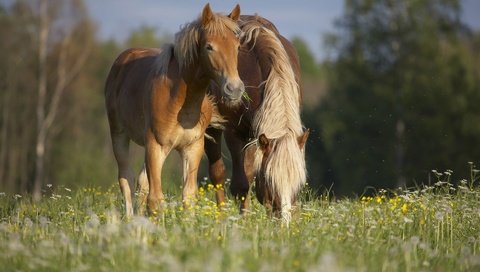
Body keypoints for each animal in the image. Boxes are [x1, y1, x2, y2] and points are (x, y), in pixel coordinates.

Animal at [106, 3, 246, 217]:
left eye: (237, 47)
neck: (181, 101)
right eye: (209, 47)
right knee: (126, 179)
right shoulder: (155, 145)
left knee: (141, 182)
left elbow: (188, 197)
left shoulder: (192, 148)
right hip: (120, 135)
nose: (235, 88)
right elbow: (155, 199)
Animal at [204, 14, 310, 222]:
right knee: (218, 174)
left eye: (299, 183)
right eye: (270, 181)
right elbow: (240, 185)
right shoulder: (234, 133)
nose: (284, 222)